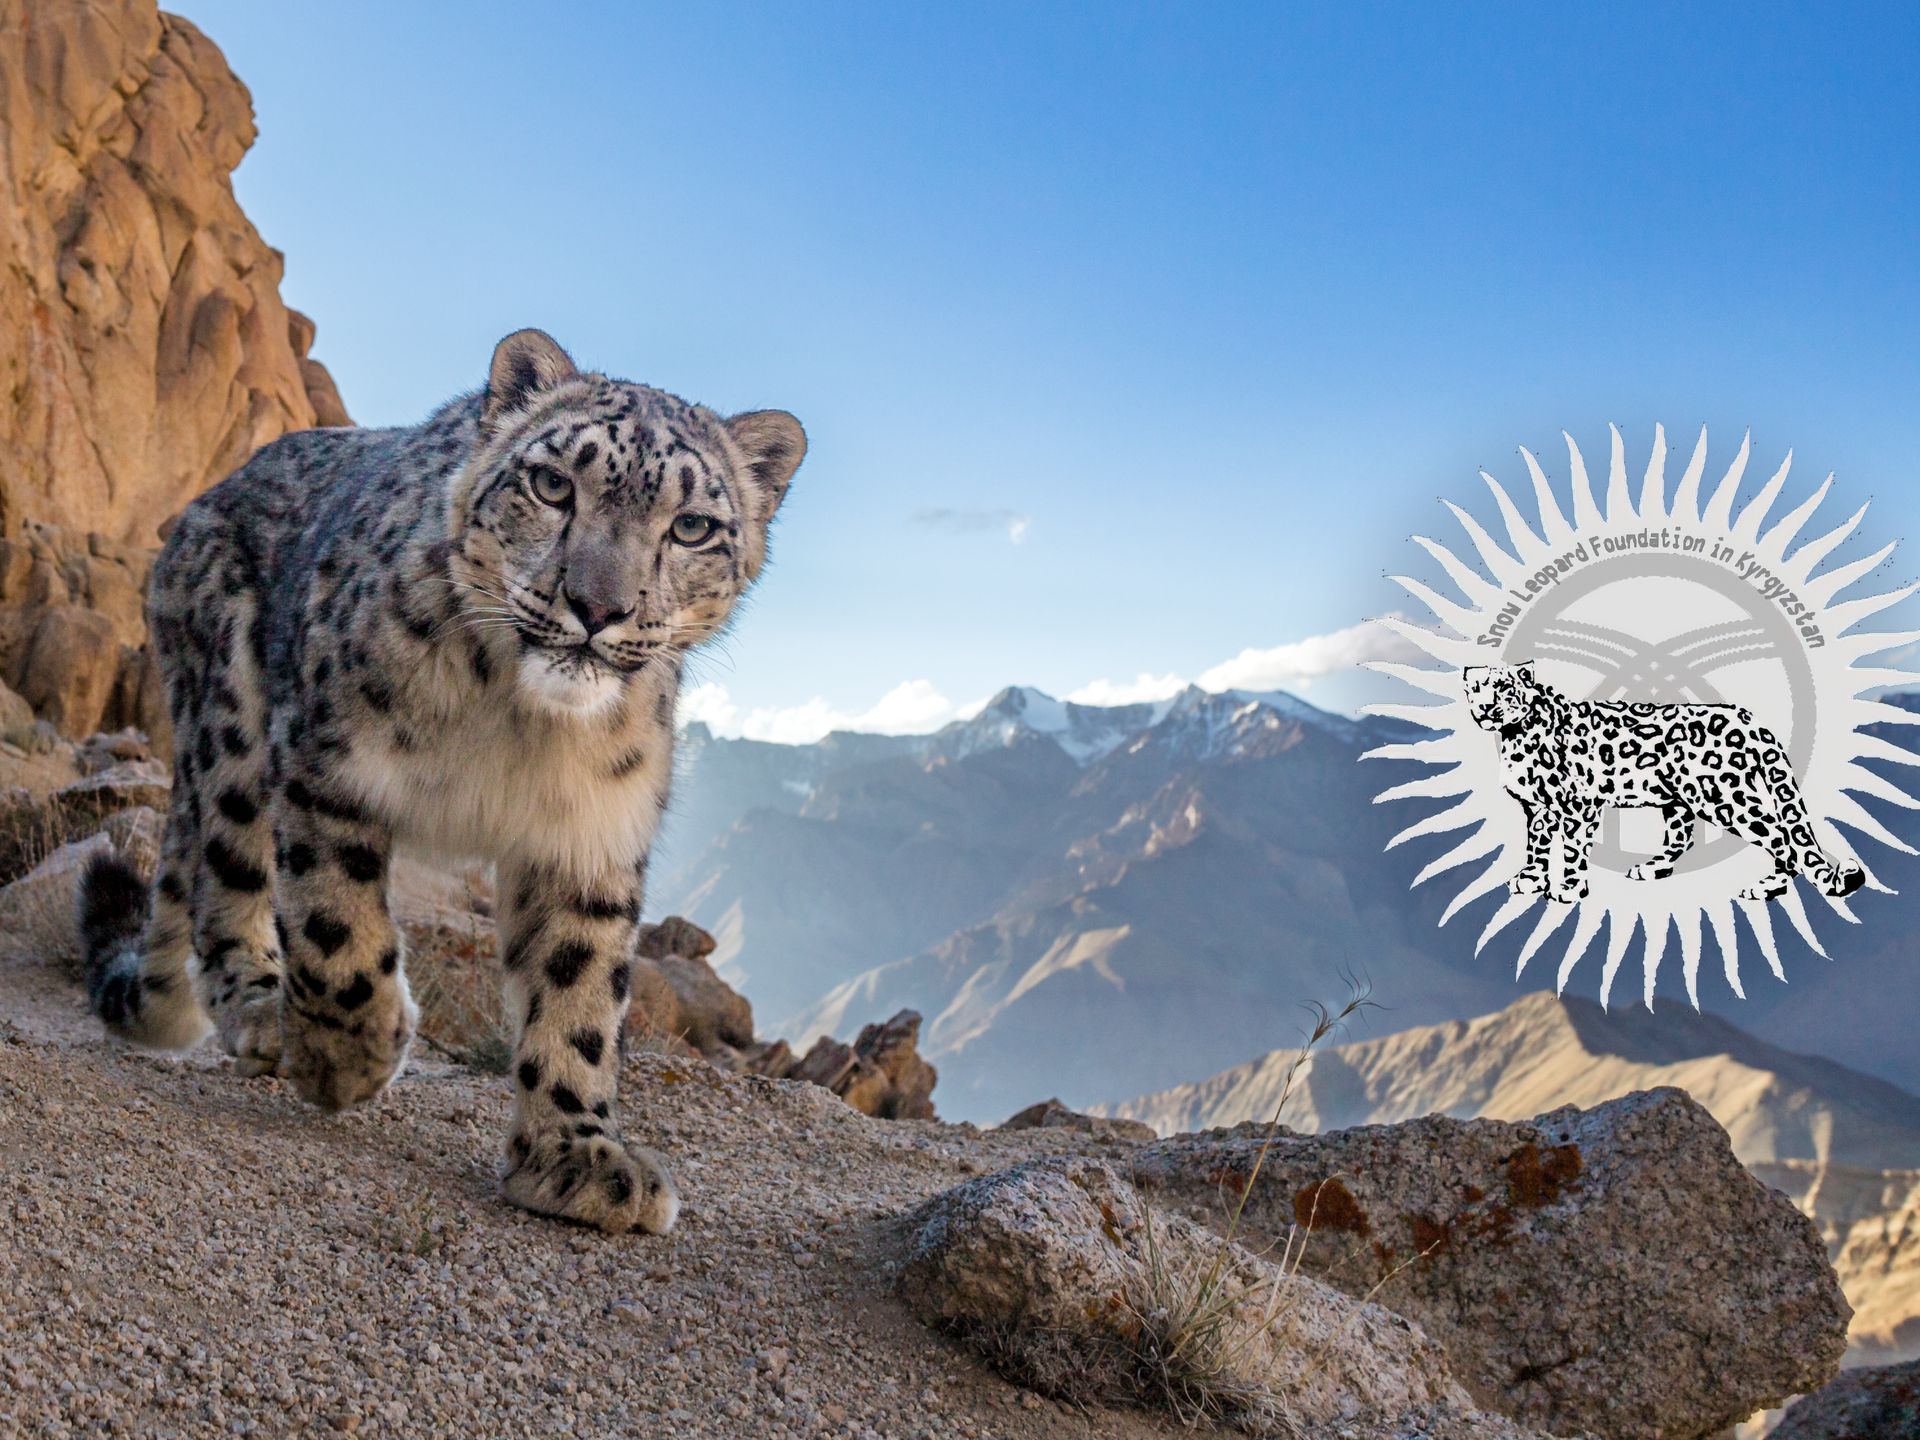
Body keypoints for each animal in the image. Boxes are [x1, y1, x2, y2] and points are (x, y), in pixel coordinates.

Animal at [78, 328, 805, 1235]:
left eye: (694, 527)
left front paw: (576, 1157)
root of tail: (202, 505)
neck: (520, 724)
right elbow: (337, 931)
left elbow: (579, 991)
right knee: (226, 870)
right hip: (232, 726)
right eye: (552, 484)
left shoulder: (592, 834)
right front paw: (347, 1060)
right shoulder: (328, 764)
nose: (597, 607)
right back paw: (261, 1010)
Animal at [1463, 660, 1865, 904]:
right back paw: (1651, 868)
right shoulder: (1537, 808)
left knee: (1784, 839)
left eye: (1504, 688)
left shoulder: (1578, 806)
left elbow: (1574, 849)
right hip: (1678, 800)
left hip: (1725, 799)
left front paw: (1569, 889)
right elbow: (1537, 845)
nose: (1485, 708)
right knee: (1682, 837)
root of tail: (1750, 719)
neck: (1514, 737)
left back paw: (1765, 888)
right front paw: (1530, 879)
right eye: (1477, 688)